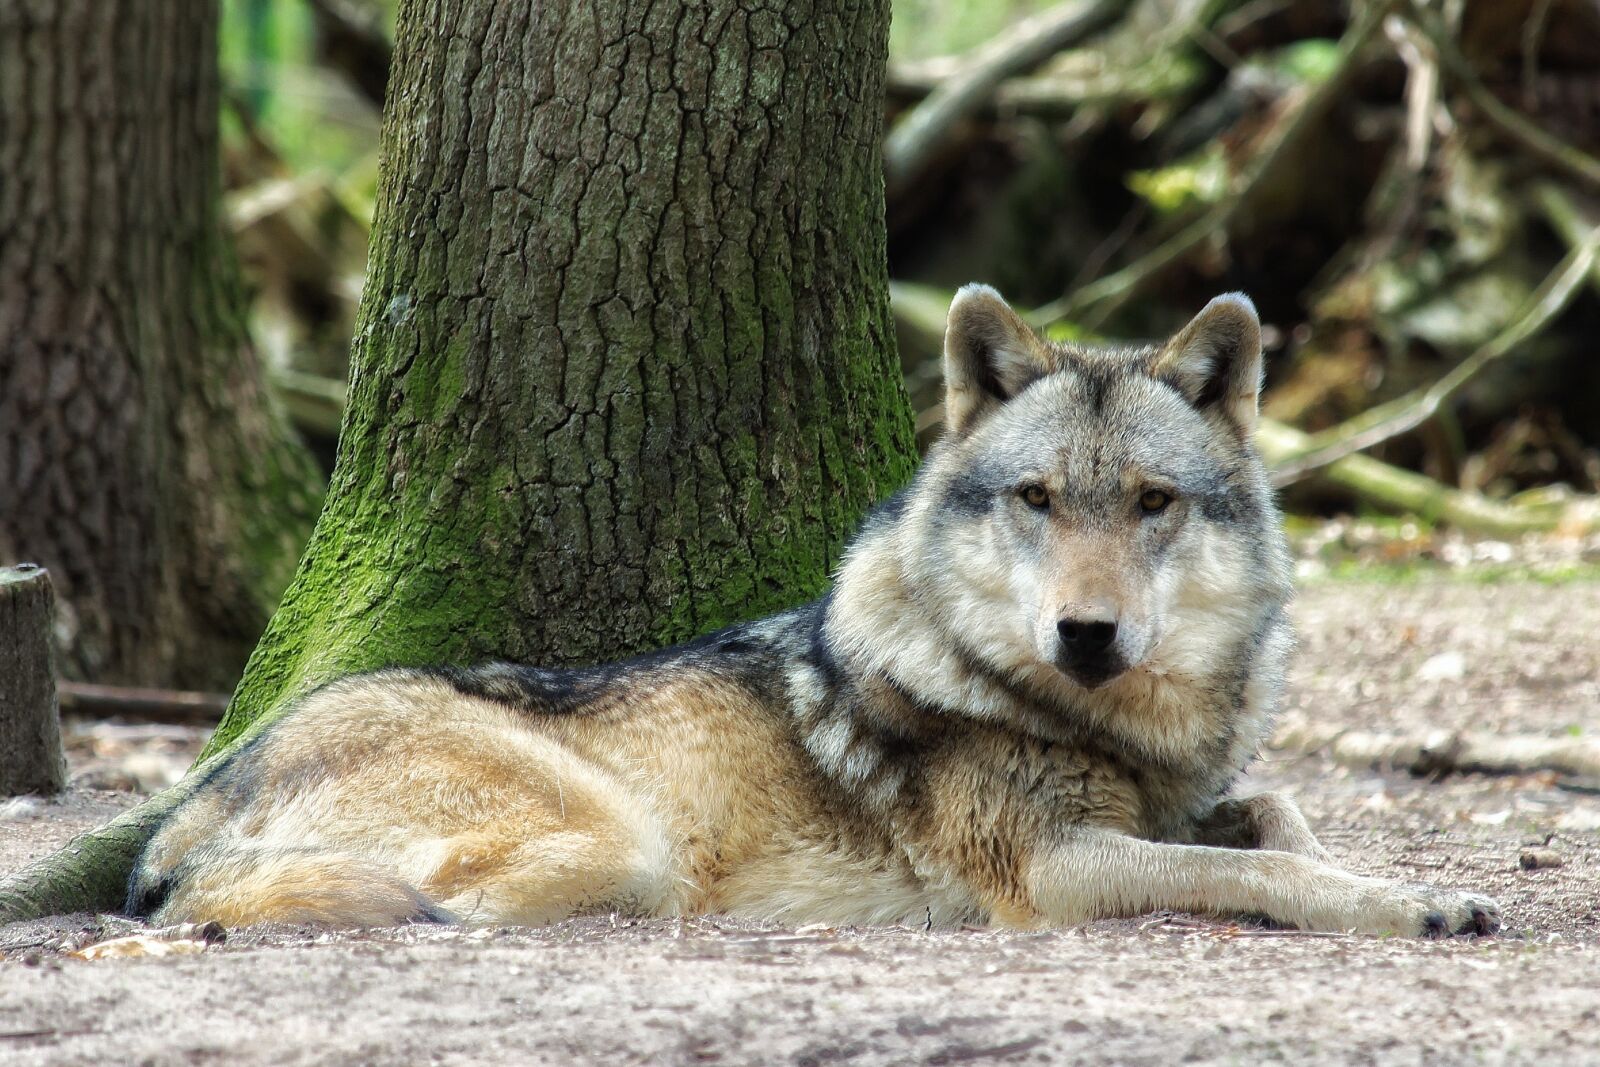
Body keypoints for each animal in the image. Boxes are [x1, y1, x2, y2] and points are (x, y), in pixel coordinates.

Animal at [128, 286, 1499, 936]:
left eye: (1152, 502)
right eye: (1039, 499)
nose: (1085, 632)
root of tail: (181, 812)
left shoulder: (1182, 800)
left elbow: (1282, 819)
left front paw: (1399, 880)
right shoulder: (1054, 867)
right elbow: (1265, 872)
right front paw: (1402, 903)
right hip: (619, 841)